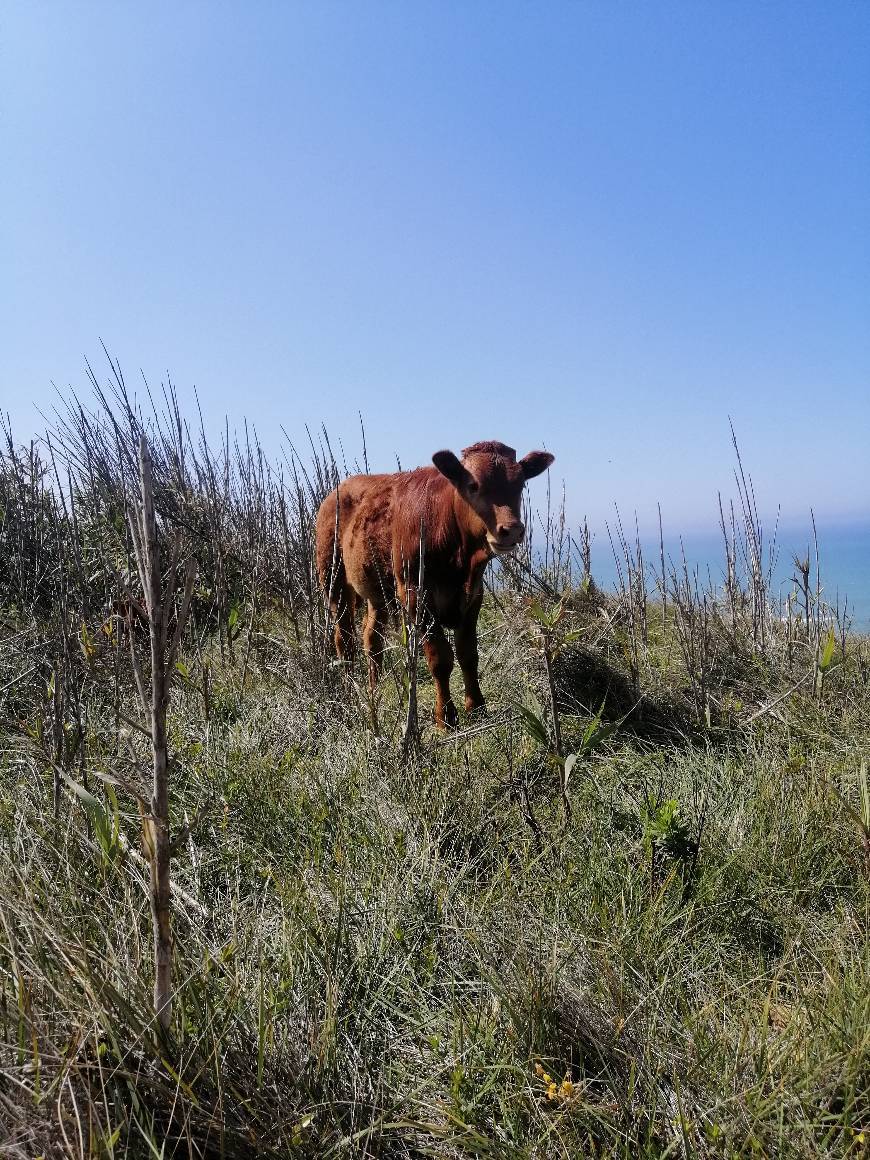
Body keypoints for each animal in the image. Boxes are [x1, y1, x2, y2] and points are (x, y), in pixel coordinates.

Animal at [317, 440, 554, 723]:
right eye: (473, 485)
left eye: (520, 484)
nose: (511, 530)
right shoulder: (415, 593)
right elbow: (440, 658)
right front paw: (446, 717)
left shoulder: (474, 594)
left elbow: (468, 653)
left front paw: (476, 706)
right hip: (332, 577)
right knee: (344, 637)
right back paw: (350, 690)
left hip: (378, 591)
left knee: (372, 638)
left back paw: (375, 690)